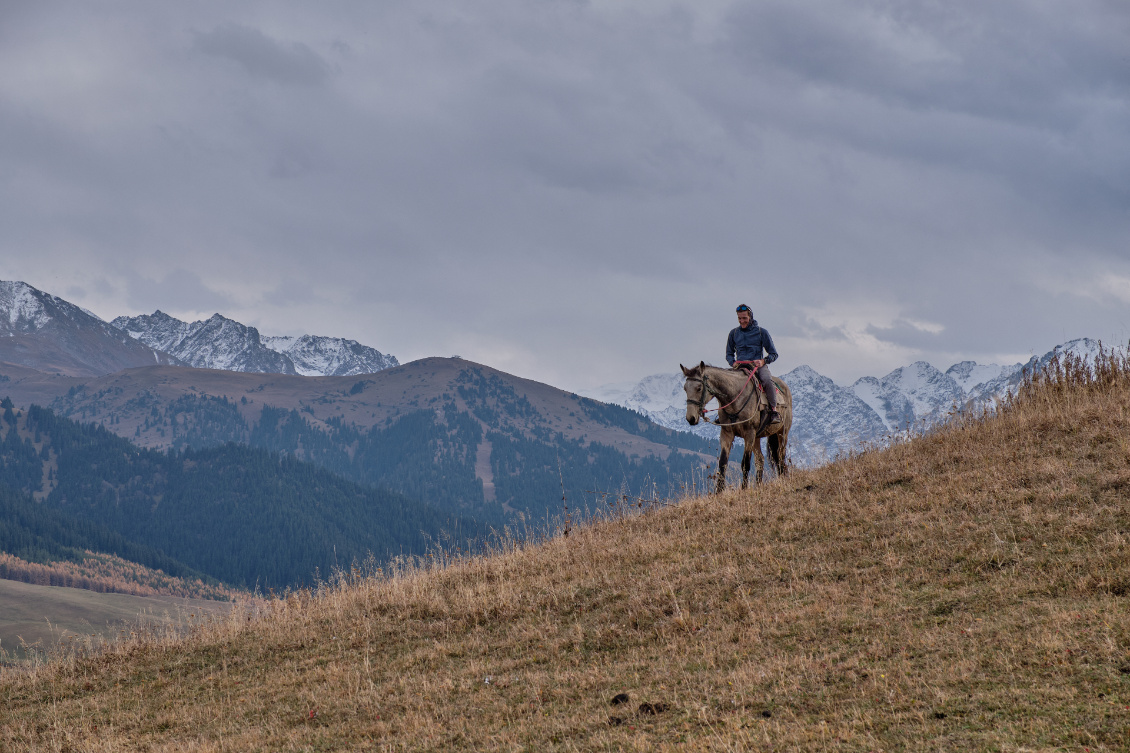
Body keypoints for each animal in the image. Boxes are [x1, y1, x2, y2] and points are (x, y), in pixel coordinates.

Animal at [678, 359, 795, 490]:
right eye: (685, 388)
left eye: (699, 388)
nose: (691, 418)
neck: (735, 397)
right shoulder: (727, 434)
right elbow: (723, 463)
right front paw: (719, 491)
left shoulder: (749, 434)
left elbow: (745, 463)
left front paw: (744, 489)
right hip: (757, 437)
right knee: (760, 460)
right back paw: (759, 485)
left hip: (782, 433)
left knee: (780, 457)